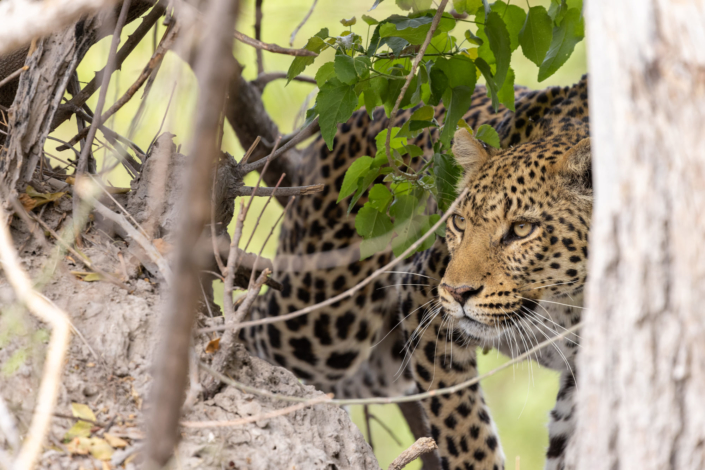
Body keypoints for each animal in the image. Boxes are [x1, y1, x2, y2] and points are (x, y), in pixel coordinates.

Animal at [239, 75, 592, 468]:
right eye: (458, 222)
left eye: (521, 229)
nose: (457, 292)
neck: (570, 302)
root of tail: (363, 109)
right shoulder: (423, 302)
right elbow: (463, 430)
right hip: (321, 325)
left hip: (380, 361)